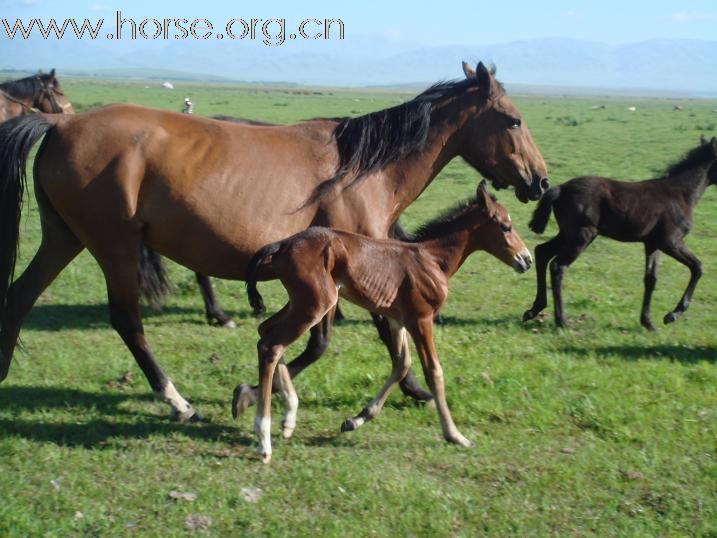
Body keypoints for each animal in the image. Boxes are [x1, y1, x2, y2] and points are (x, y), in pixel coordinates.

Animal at [0, 61, 544, 422]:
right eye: (514, 120)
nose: (539, 181)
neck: (362, 169)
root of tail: (61, 123)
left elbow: (346, 338)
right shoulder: (355, 264)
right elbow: (367, 337)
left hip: (64, 239)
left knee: (19, 296)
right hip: (114, 246)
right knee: (126, 322)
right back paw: (178, 401)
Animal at [239, 183, 532, 460]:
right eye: (506, 226)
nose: (526, 259)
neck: (431, 259)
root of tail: (283, 244)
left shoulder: (396, 319)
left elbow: (402, 364)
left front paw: (355, 420)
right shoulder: (421, 319)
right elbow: (433, 371)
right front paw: (455, 435)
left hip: (301, 302)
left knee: (266, 332)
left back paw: (288, 416)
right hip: (316, 304)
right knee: (273, 346)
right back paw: (264, 440)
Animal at [520, 136, 716, 328]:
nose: (651, 321)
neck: (680, 194)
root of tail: (561, 188)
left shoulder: (653, 244)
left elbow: (651, 279)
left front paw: (648, 322)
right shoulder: (670, 241)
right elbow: (698, 267)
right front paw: (672, 315)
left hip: (567, 234)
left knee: (542, 252)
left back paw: (534, 310)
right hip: (582, 235)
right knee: (558, 266)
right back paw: (562, 321)